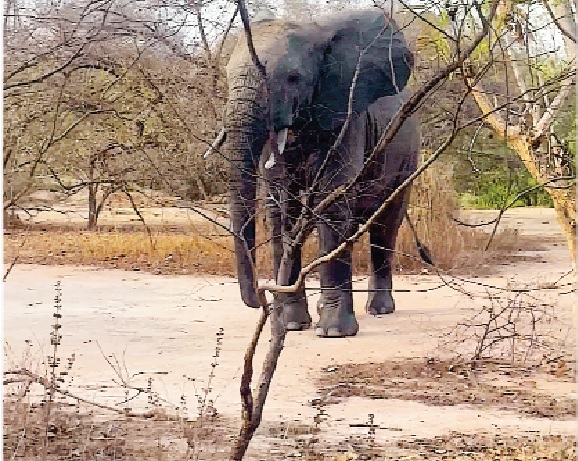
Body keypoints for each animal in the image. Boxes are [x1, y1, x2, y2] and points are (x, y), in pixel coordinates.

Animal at [216, 8, 418, 338]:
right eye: (227, 78)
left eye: (293, 78)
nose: (258, 299)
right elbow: (280, 209)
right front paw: (292, 325)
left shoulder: (346, 119)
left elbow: (331, 202)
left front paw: (334, 332)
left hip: (408, 155)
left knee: (385, 223)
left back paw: (378, 310)